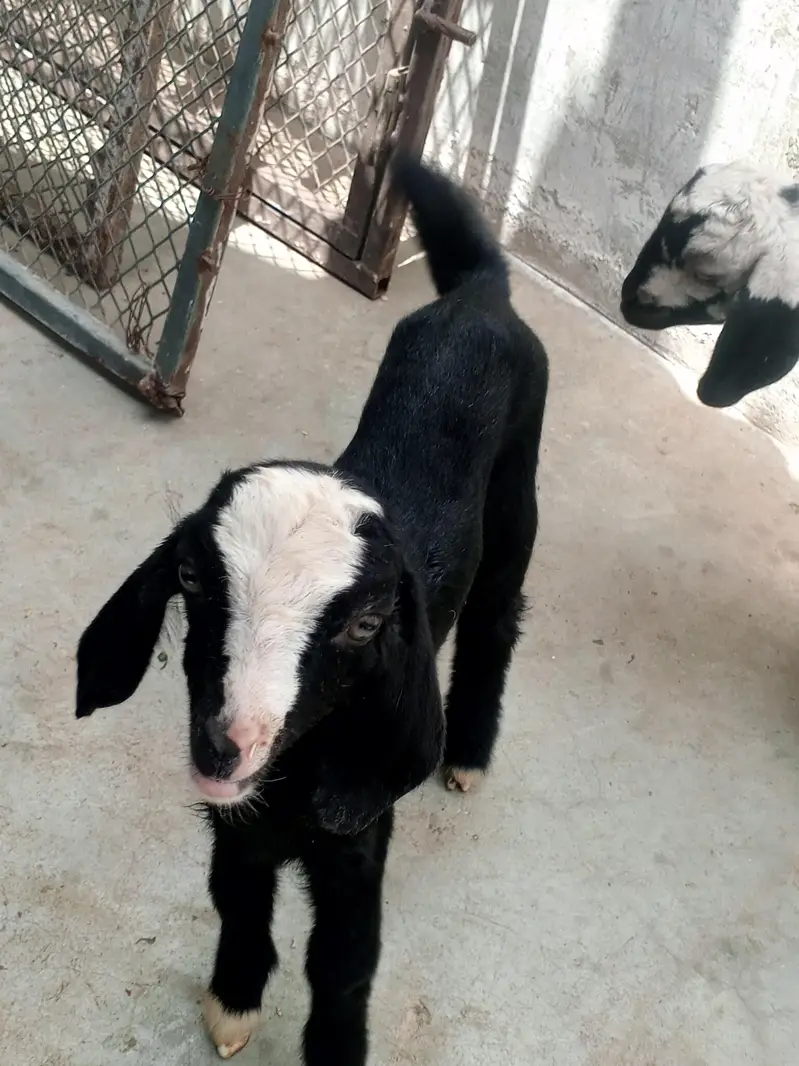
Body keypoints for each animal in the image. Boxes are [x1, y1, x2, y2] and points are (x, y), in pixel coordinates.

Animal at [74, 154, 549, 1065]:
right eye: (189, 577)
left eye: (367, 625)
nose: (223, 747)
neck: (296, 777)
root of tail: (480, 293)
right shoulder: (239, 819)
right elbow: (234, 893)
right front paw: (233, 1001)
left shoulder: (359, 827)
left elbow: (343, 960)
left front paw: (330, 1048)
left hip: (518, 496)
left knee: (497, 618)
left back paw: (469, 755)